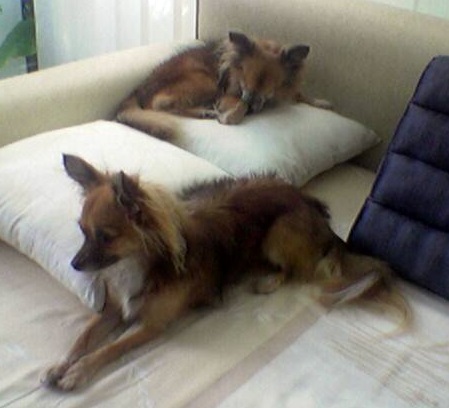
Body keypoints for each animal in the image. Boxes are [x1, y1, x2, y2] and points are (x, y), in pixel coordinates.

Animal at [41, 154, 410, 391]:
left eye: (106, 236)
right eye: (82, 231)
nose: (74, 265)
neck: (136, 264)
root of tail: (310, 204)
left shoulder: (152, 326)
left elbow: (110, 349)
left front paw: (78, 372)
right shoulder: (114, 310)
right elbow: (84, 336)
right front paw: (61, 365)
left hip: (278, 233)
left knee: (295, 270)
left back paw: (268, 282)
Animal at [116, 31, 331, 141]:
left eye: (269, 89)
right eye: (244, 84)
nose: (253, 107)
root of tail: (138, 89)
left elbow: (300, 93)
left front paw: (321, 102)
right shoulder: (228, 94)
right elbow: (239, 104)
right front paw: (232, 115)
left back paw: (205, 111)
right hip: (206, 82)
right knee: (160, 104)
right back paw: (205, 111)